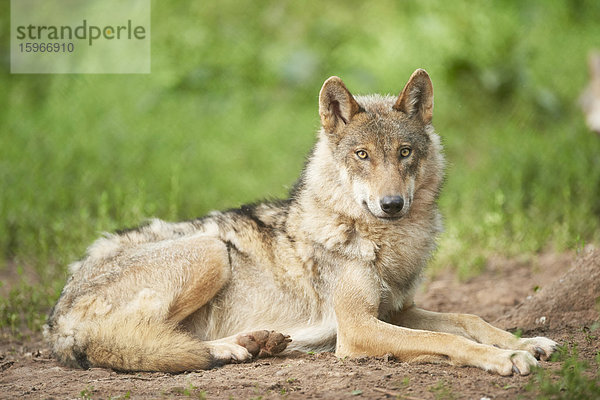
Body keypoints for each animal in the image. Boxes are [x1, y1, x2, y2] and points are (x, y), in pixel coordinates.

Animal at [44, 69, 556, 376]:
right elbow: (445, 339)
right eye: (362, 155)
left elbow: (468, 318)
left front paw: (527, 341)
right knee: (145, 344)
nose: (392, 204)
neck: (385, 241)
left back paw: (252, 344)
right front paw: (506, 357)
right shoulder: (358, 329)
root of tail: (56, 318)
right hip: (211, 250)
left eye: (404, 153)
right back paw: (233, 349)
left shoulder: (394, 311)